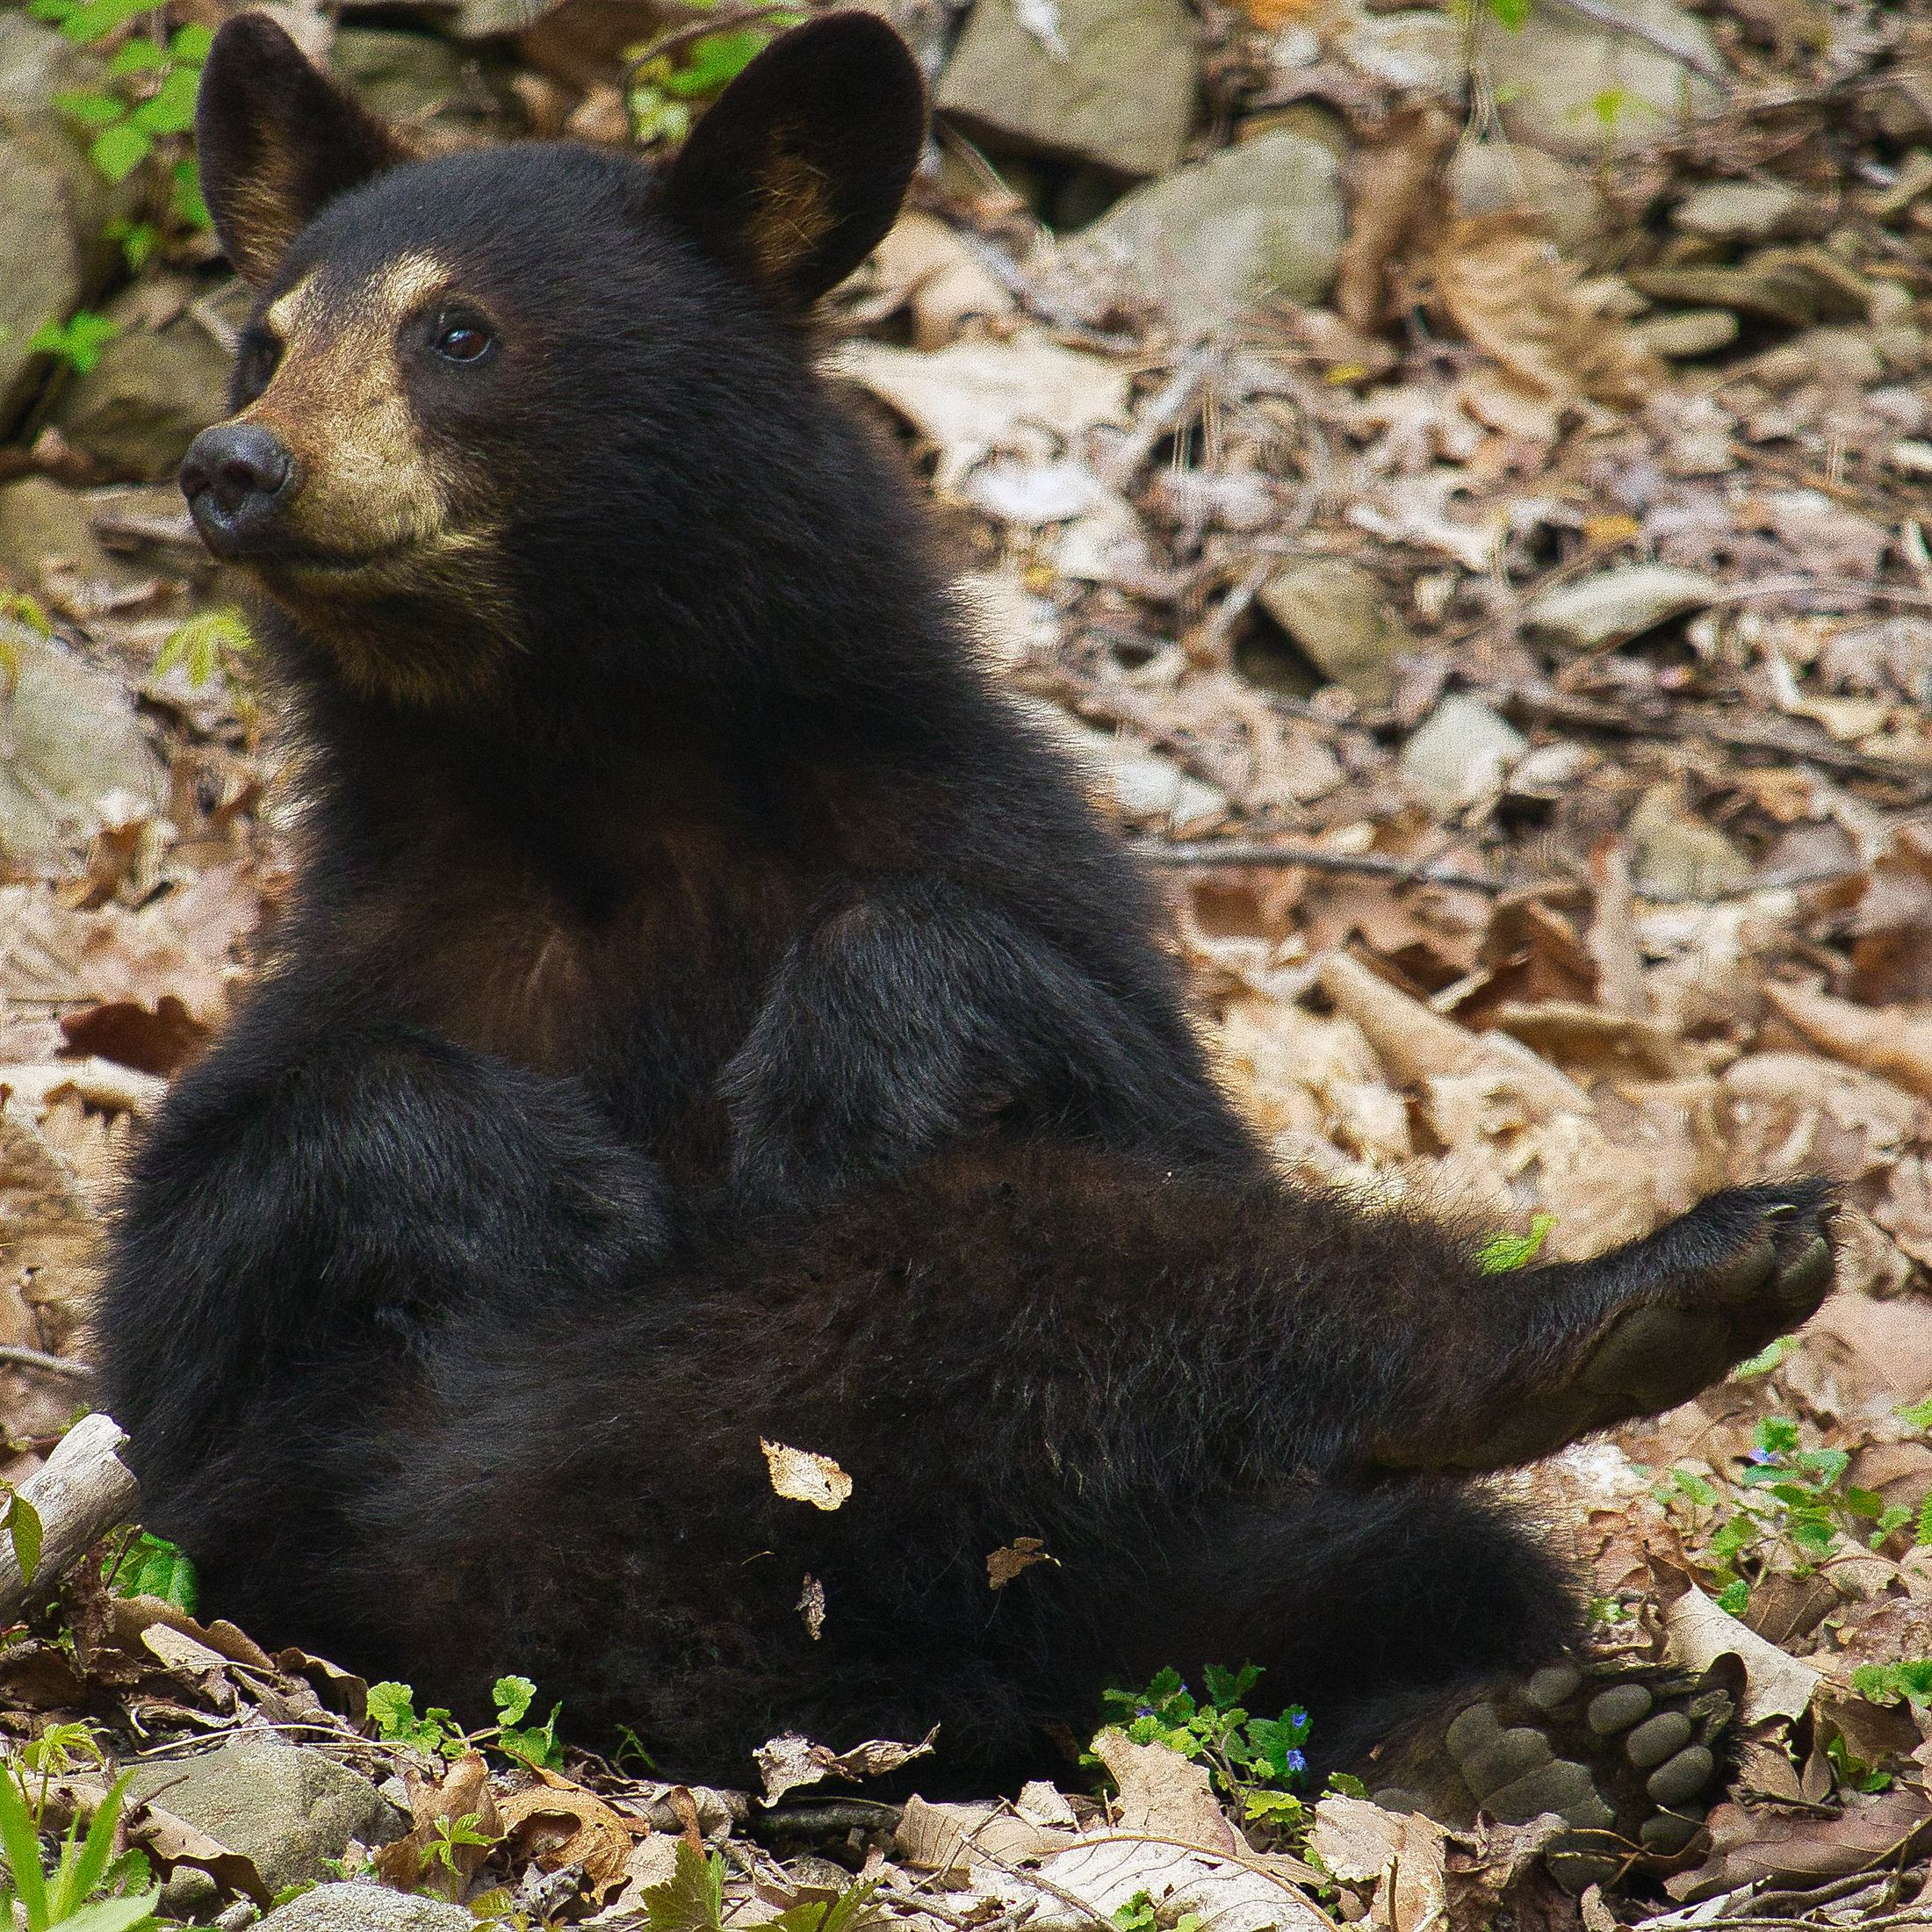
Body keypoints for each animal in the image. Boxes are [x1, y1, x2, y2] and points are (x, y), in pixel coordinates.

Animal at [95, 10, 1835, 1884]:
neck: (593, 767)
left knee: (1211, 1355)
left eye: (457, 332)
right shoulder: (384, 937)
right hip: (457, 1522)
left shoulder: (986, 834)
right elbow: (186, 1285)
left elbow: (1124, 1081)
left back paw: (1590, 1538)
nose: (234, 466)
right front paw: (547, 1180)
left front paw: (840, 1062)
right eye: (264, 340)